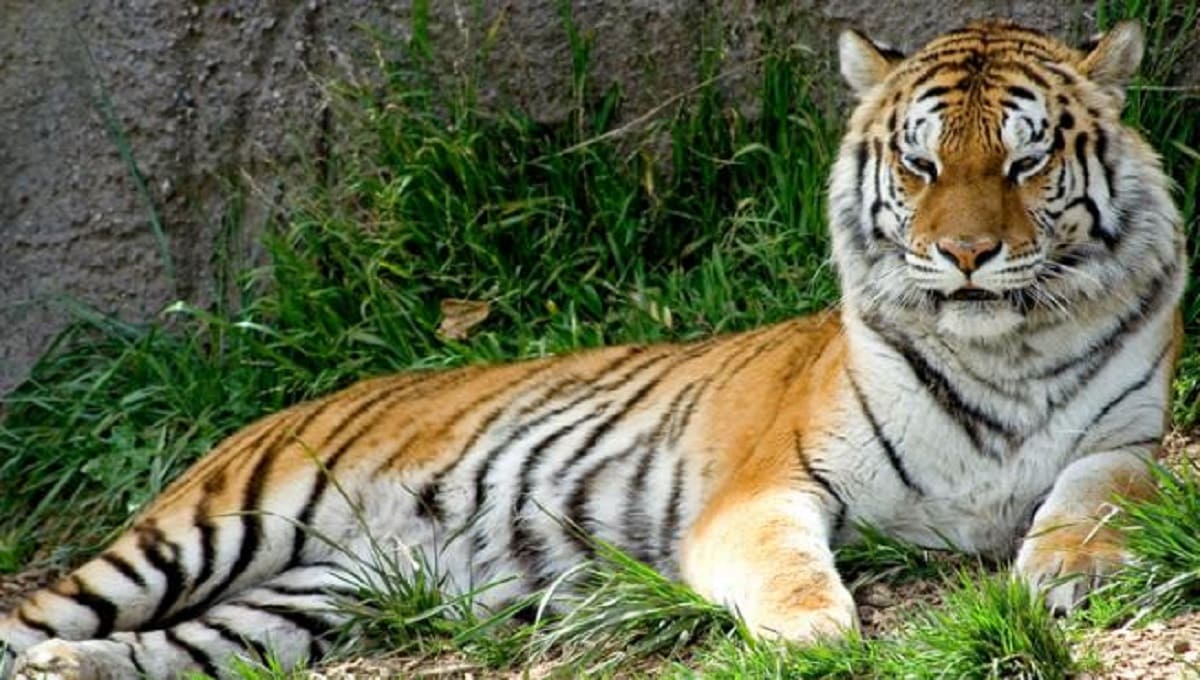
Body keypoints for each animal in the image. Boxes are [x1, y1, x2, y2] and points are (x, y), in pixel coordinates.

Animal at [0, 17, 1187, 679]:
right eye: (923, 163)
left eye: (1026, 163)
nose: (967, 254)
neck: (1002, 347)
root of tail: (284, 401)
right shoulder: (765, 490)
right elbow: (790, 569)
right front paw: (813, 640)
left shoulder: (1127, 438)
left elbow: (1095, 501)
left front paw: (1062, 576)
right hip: (195, 533)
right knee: (34, 612)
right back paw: (51, 649)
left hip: (304, 599)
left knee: (170, 649)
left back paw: (73, 669)